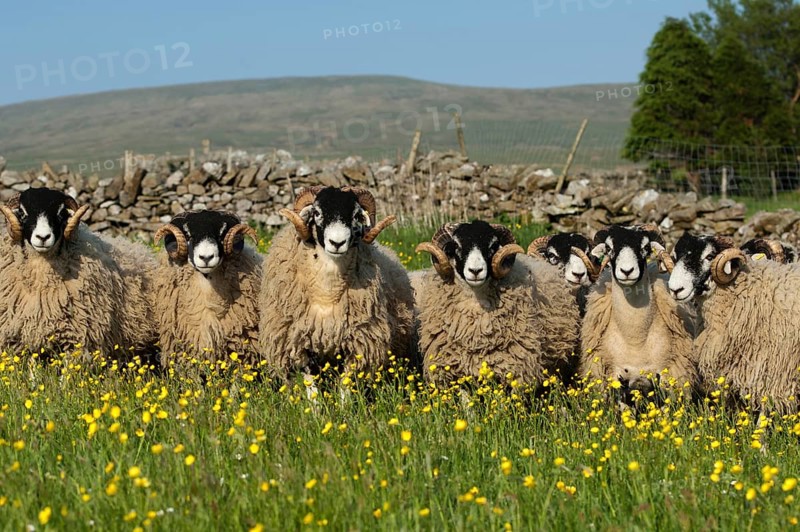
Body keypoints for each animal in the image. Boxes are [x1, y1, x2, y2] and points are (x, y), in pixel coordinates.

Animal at [258, 186, 416, 381]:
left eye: (356, 215)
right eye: (317, 212)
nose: (337, 243)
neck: (327, 292)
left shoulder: (358, 342)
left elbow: (346, 382)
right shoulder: (297, 341)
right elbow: (310, 383)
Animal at [579, 224, 700, 399]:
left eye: (645, 248)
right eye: (609, 248)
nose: (627, 271)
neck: (635, 339)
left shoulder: (666, 375)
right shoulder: (615, 377)